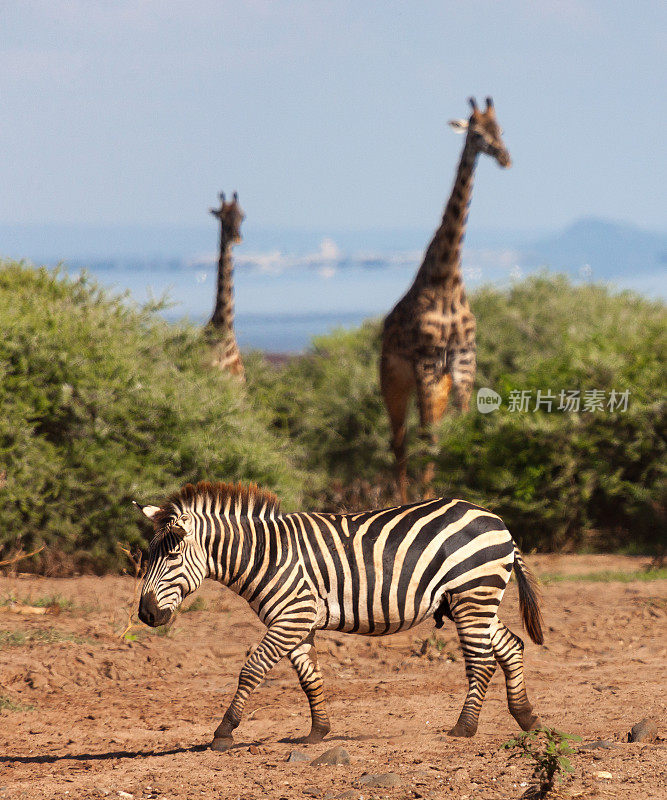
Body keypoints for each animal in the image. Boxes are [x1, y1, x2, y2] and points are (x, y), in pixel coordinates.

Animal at [137, 482, 548, 752]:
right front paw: (318, 731)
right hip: (471, 600)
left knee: (481, 662)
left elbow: (251, 669)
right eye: (150, 555)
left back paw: (464, 728)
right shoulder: (297, 621)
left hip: (472, 594)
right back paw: (526, 717)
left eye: (172, 556)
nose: (145, 614)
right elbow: (309, 677)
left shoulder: (293, 616)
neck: (265, 554)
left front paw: (223, 732)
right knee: (510, 646)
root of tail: (497, 520)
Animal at [380, 98, 512, 500]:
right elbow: (428, 440)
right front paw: (427, 501)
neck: (447, 280)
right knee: (400, 441)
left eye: (501, 129)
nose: (505, 157)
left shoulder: (464, 361)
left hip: (441, 382)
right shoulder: (425, 361)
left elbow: (460, 430)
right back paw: (405, 499)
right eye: (477, 133)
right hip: (394, 378)